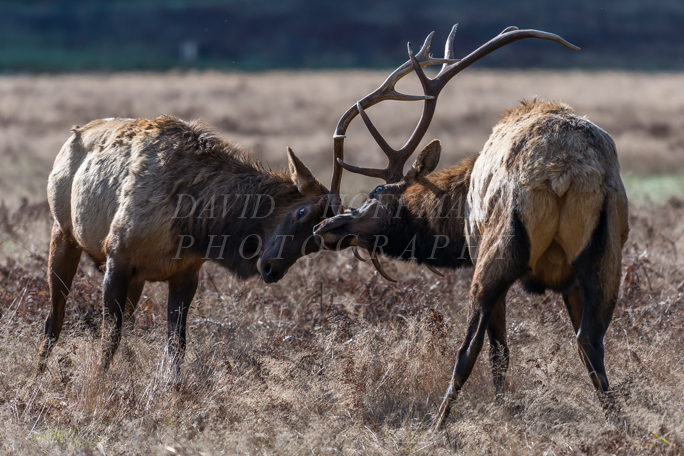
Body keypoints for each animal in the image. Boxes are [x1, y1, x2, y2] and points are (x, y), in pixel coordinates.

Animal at [38, 115, 332, 374]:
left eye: (315, 243)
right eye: (301, 212)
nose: (272, 269)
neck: (194, 225)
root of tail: (73, 135)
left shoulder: (186, 273)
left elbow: (176, 344)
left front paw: (173, 388)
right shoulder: (117, 258)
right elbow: (109, 338)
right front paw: (99, 384)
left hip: (135, 279)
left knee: (128, 324)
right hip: (63, 233)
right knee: (54, 317)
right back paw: (38, 376)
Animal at [316, 27, 632, 428]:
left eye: (376, 193)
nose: (327, 225)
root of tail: (563, 173)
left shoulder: (478, 246)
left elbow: (498, 350)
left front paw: (504, 410)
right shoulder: (572, 281)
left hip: (497, 252)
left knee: (469, 348)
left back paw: (438, 426)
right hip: (605, 257)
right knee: (590, 341)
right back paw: (620, 425)